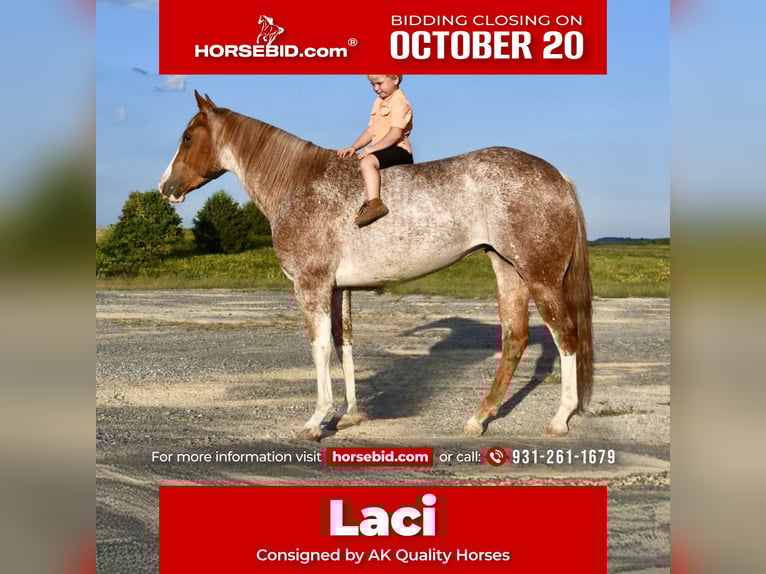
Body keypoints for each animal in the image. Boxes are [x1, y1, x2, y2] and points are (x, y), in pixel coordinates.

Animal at [159, 91, 593, 440]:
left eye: (188, 136)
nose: (166, 188)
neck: (298, 183)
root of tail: (557, 176)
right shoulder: (339, 289)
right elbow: (344, 344)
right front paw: (348, 415)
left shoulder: (312, 285)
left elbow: (319, 347)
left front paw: (316, 421)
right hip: (507, 270)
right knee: (515, 338)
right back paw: (479, 419)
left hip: (541, 278)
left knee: (566, 335)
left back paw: (559, 419)